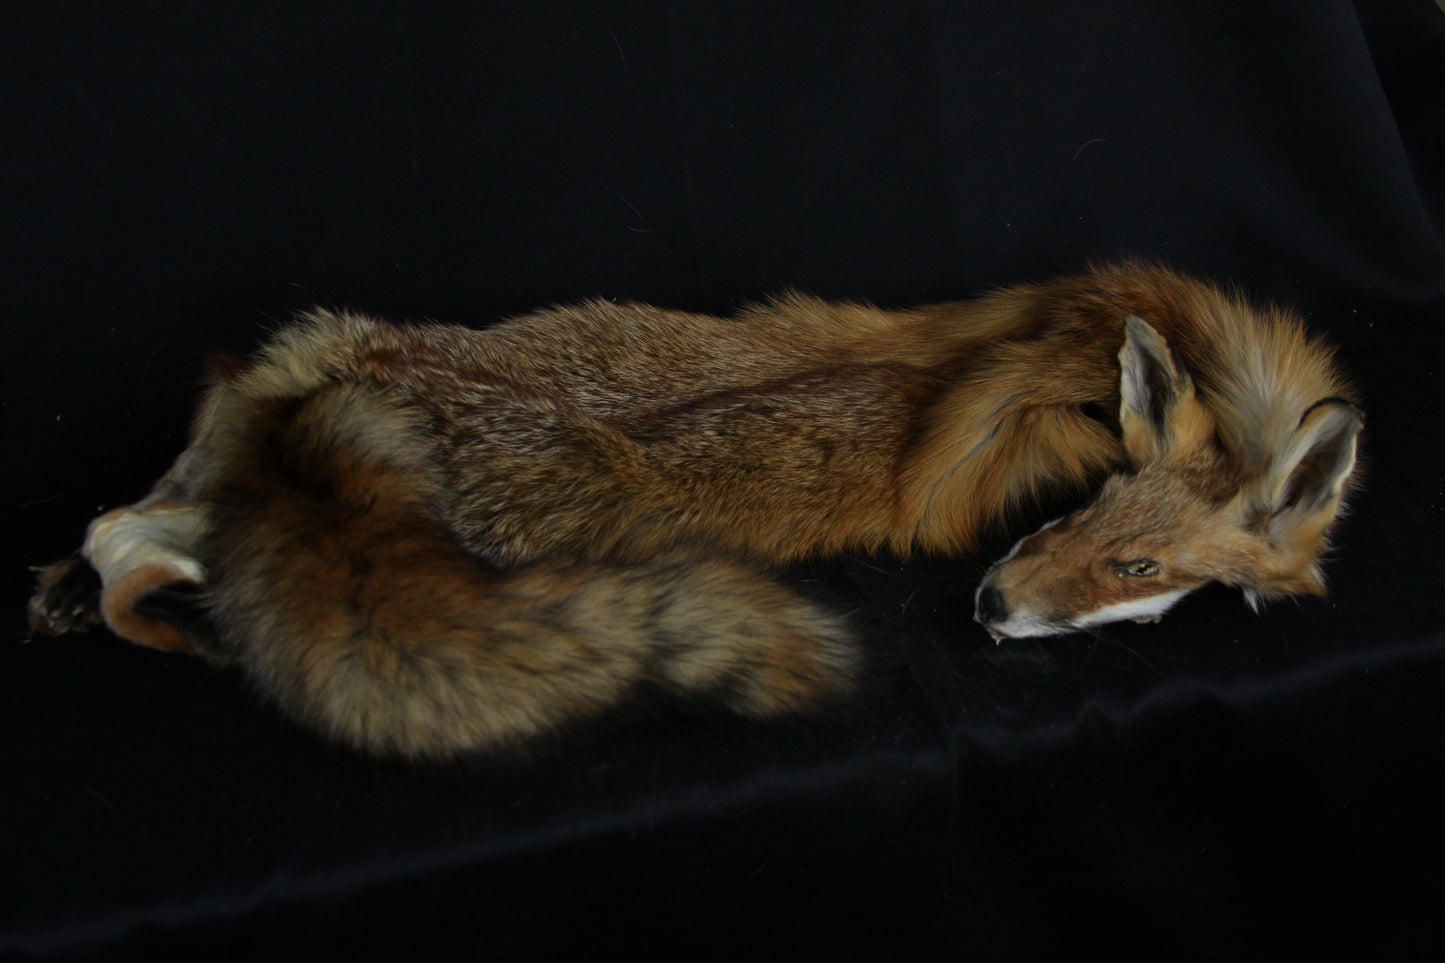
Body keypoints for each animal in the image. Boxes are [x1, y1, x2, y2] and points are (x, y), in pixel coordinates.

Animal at [26, 262, 1361, 758]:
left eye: (1138, 564)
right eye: (1090, 527)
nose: (987, 602)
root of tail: (324, 406)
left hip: (258, 416)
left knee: (128, 524)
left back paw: (87, 597)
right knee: (150, 541)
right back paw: (158, 617)